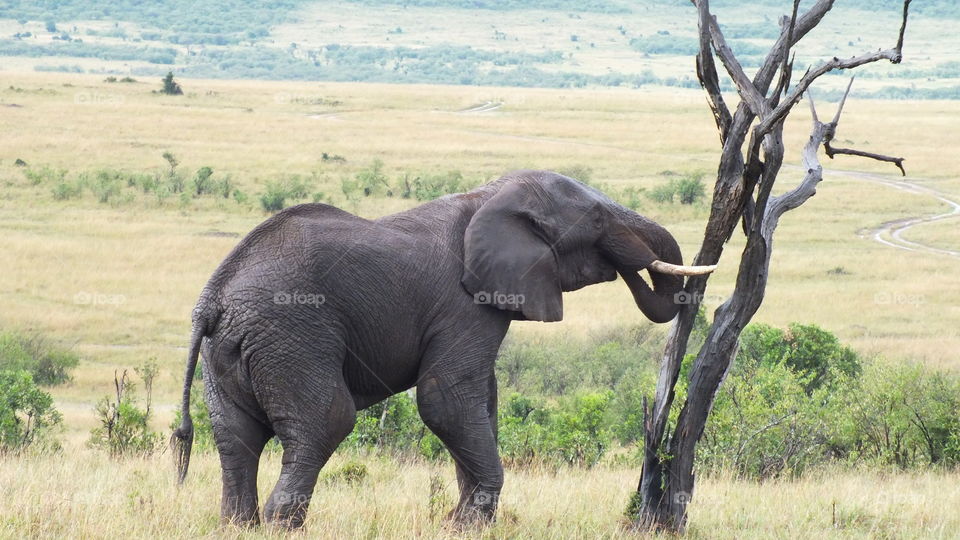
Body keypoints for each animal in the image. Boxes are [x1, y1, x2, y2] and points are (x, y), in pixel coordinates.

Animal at [171, 169, 715, 528]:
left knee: (235, 436)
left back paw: (240, 526)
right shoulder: (465, 303)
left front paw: (463, 522)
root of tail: (212, 298)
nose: (632, 265)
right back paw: (282, 525)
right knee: (326, 420)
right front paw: (470, 523)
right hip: (292, 333)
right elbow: (446, 399)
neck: (490, 195)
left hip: (233, 353)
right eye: (599, 219)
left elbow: (480, 404)